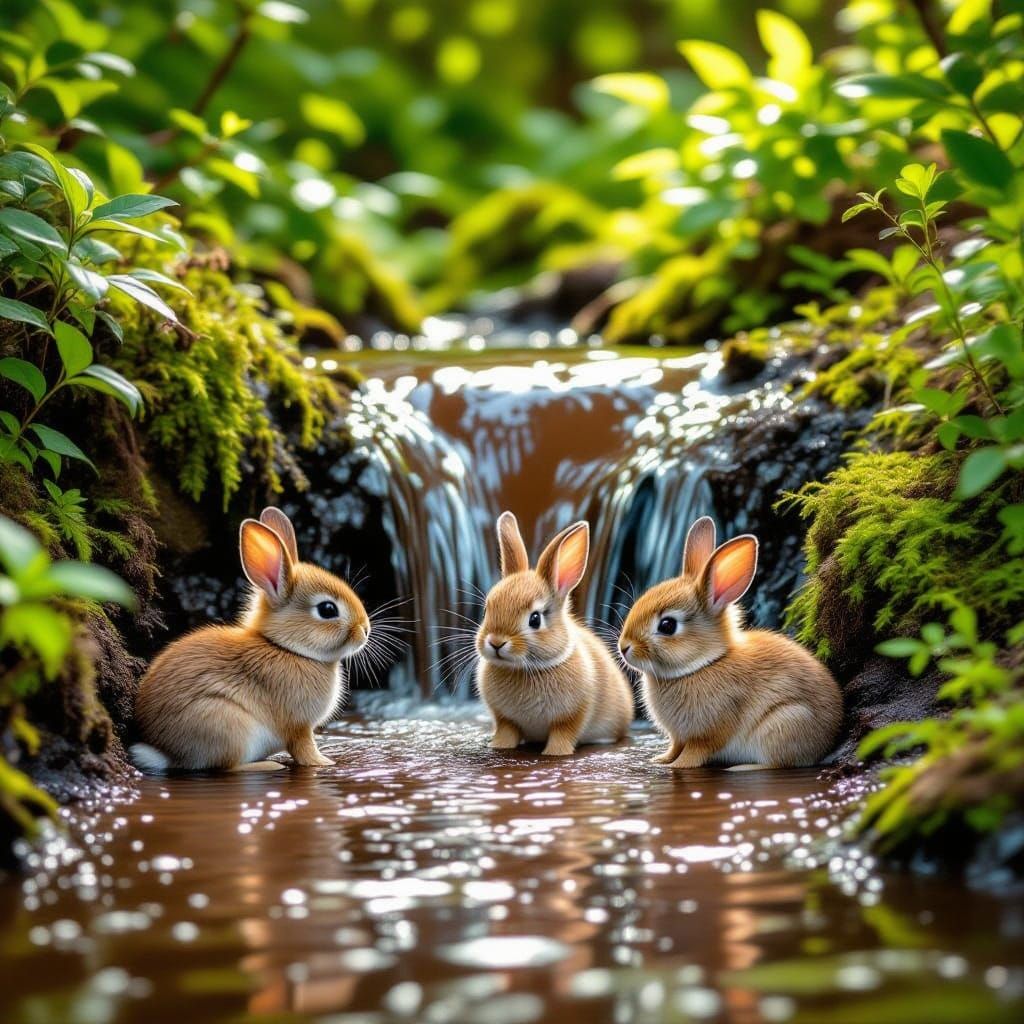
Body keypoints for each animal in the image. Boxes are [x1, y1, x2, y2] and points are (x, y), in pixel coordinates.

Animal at [130, 506, 370, 773]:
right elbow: (304, 749)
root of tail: (165, 753)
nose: (365, 630)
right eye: (327, 609)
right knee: (228, 767)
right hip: (228, 724)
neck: (287, 649)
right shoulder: (298, 727)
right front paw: (324, 763)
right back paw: (269, 766)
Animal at [475, 511, 633, 756]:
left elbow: (563, 734)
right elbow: (507, 732)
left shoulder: (572, 716)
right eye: (486, 610)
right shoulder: (505, 719)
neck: (525, 668)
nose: (496, 642)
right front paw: (498, 746)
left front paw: (554, 753)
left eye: (535, 619)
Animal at [618, 516, 842, 769]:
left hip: (784, 722)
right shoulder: (678, 737)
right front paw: (661, 760)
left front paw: (677, 766)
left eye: (667, 625)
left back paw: (742, 767)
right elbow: (675, 746)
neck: (703, 665)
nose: (624, 648)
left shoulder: (707, 734)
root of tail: (828, 740)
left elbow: (695, 752)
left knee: (777, 763)